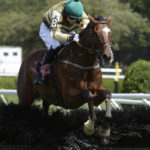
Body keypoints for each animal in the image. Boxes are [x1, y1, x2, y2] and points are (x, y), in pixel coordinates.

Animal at [17, 15, 113, 144]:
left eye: (111, 33)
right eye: (96, 34)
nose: (108, 57)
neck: (85, 64)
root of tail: (27, 58)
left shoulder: (97, 91)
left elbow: (107, 94)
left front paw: (104, 131)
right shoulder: (68, 98)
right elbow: (88, 95)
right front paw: (89, 127)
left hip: (47, 98)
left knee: (45, 110)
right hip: (25, 98)